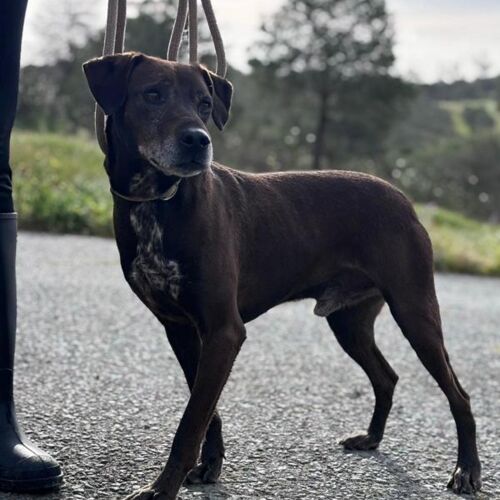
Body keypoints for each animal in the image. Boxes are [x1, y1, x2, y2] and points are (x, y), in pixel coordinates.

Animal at [83, 52, 481, 500]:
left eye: (204, 104)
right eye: (152, 95)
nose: (199, 141)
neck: (159, 202)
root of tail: (403, 199)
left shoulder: (224, 330)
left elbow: (190, 422)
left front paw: (163, 488)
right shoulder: (181, 330)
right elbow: (206, 411)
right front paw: (209, 465)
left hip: (415, 312)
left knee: (459, 395)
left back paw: (467, 470)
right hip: (350, 323)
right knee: (386, 377)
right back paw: (372, 438)